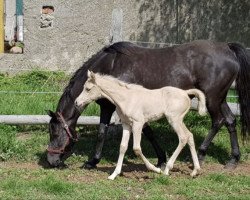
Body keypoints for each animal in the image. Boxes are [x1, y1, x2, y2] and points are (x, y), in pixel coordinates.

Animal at [75, 70, 206, 180]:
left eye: (88, 89)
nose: (76, 102)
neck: (126, 98)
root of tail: (185, 92)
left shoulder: (138, 124)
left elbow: (137, 148)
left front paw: (155, 169)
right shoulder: (126, 125)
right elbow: (122, 147)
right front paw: (114, 175)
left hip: (174, 119)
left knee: (183, 137)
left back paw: (167, 169)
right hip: (179, 120)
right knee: (189, 136)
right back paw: (195, 171)